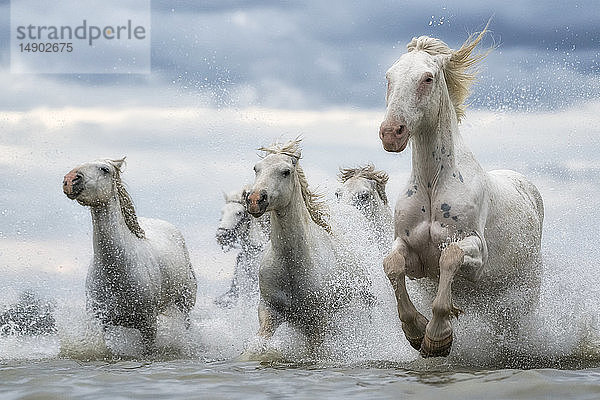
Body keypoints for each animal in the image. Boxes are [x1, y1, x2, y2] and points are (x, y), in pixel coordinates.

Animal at [64, 158, 198, 352]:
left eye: (104, 169)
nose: (70, 180)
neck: (117, 271)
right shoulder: (103, 324)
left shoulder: (149, 325)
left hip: (185, 306)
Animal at [245, 139, 370, 346]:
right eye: (256, 168)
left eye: (286, 171)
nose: (255, 200)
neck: (291, 263)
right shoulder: (268, 311)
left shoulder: (318, 322)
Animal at [380, 28, 544, 358]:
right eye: (389, 76)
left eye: (427, 78)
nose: (391, 133)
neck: (433, 183)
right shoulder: (411, 254)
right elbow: (392, 265)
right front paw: (416, 331)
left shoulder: (476, 255)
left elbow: (450, 257)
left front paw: (437, 338)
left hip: (523, 294)